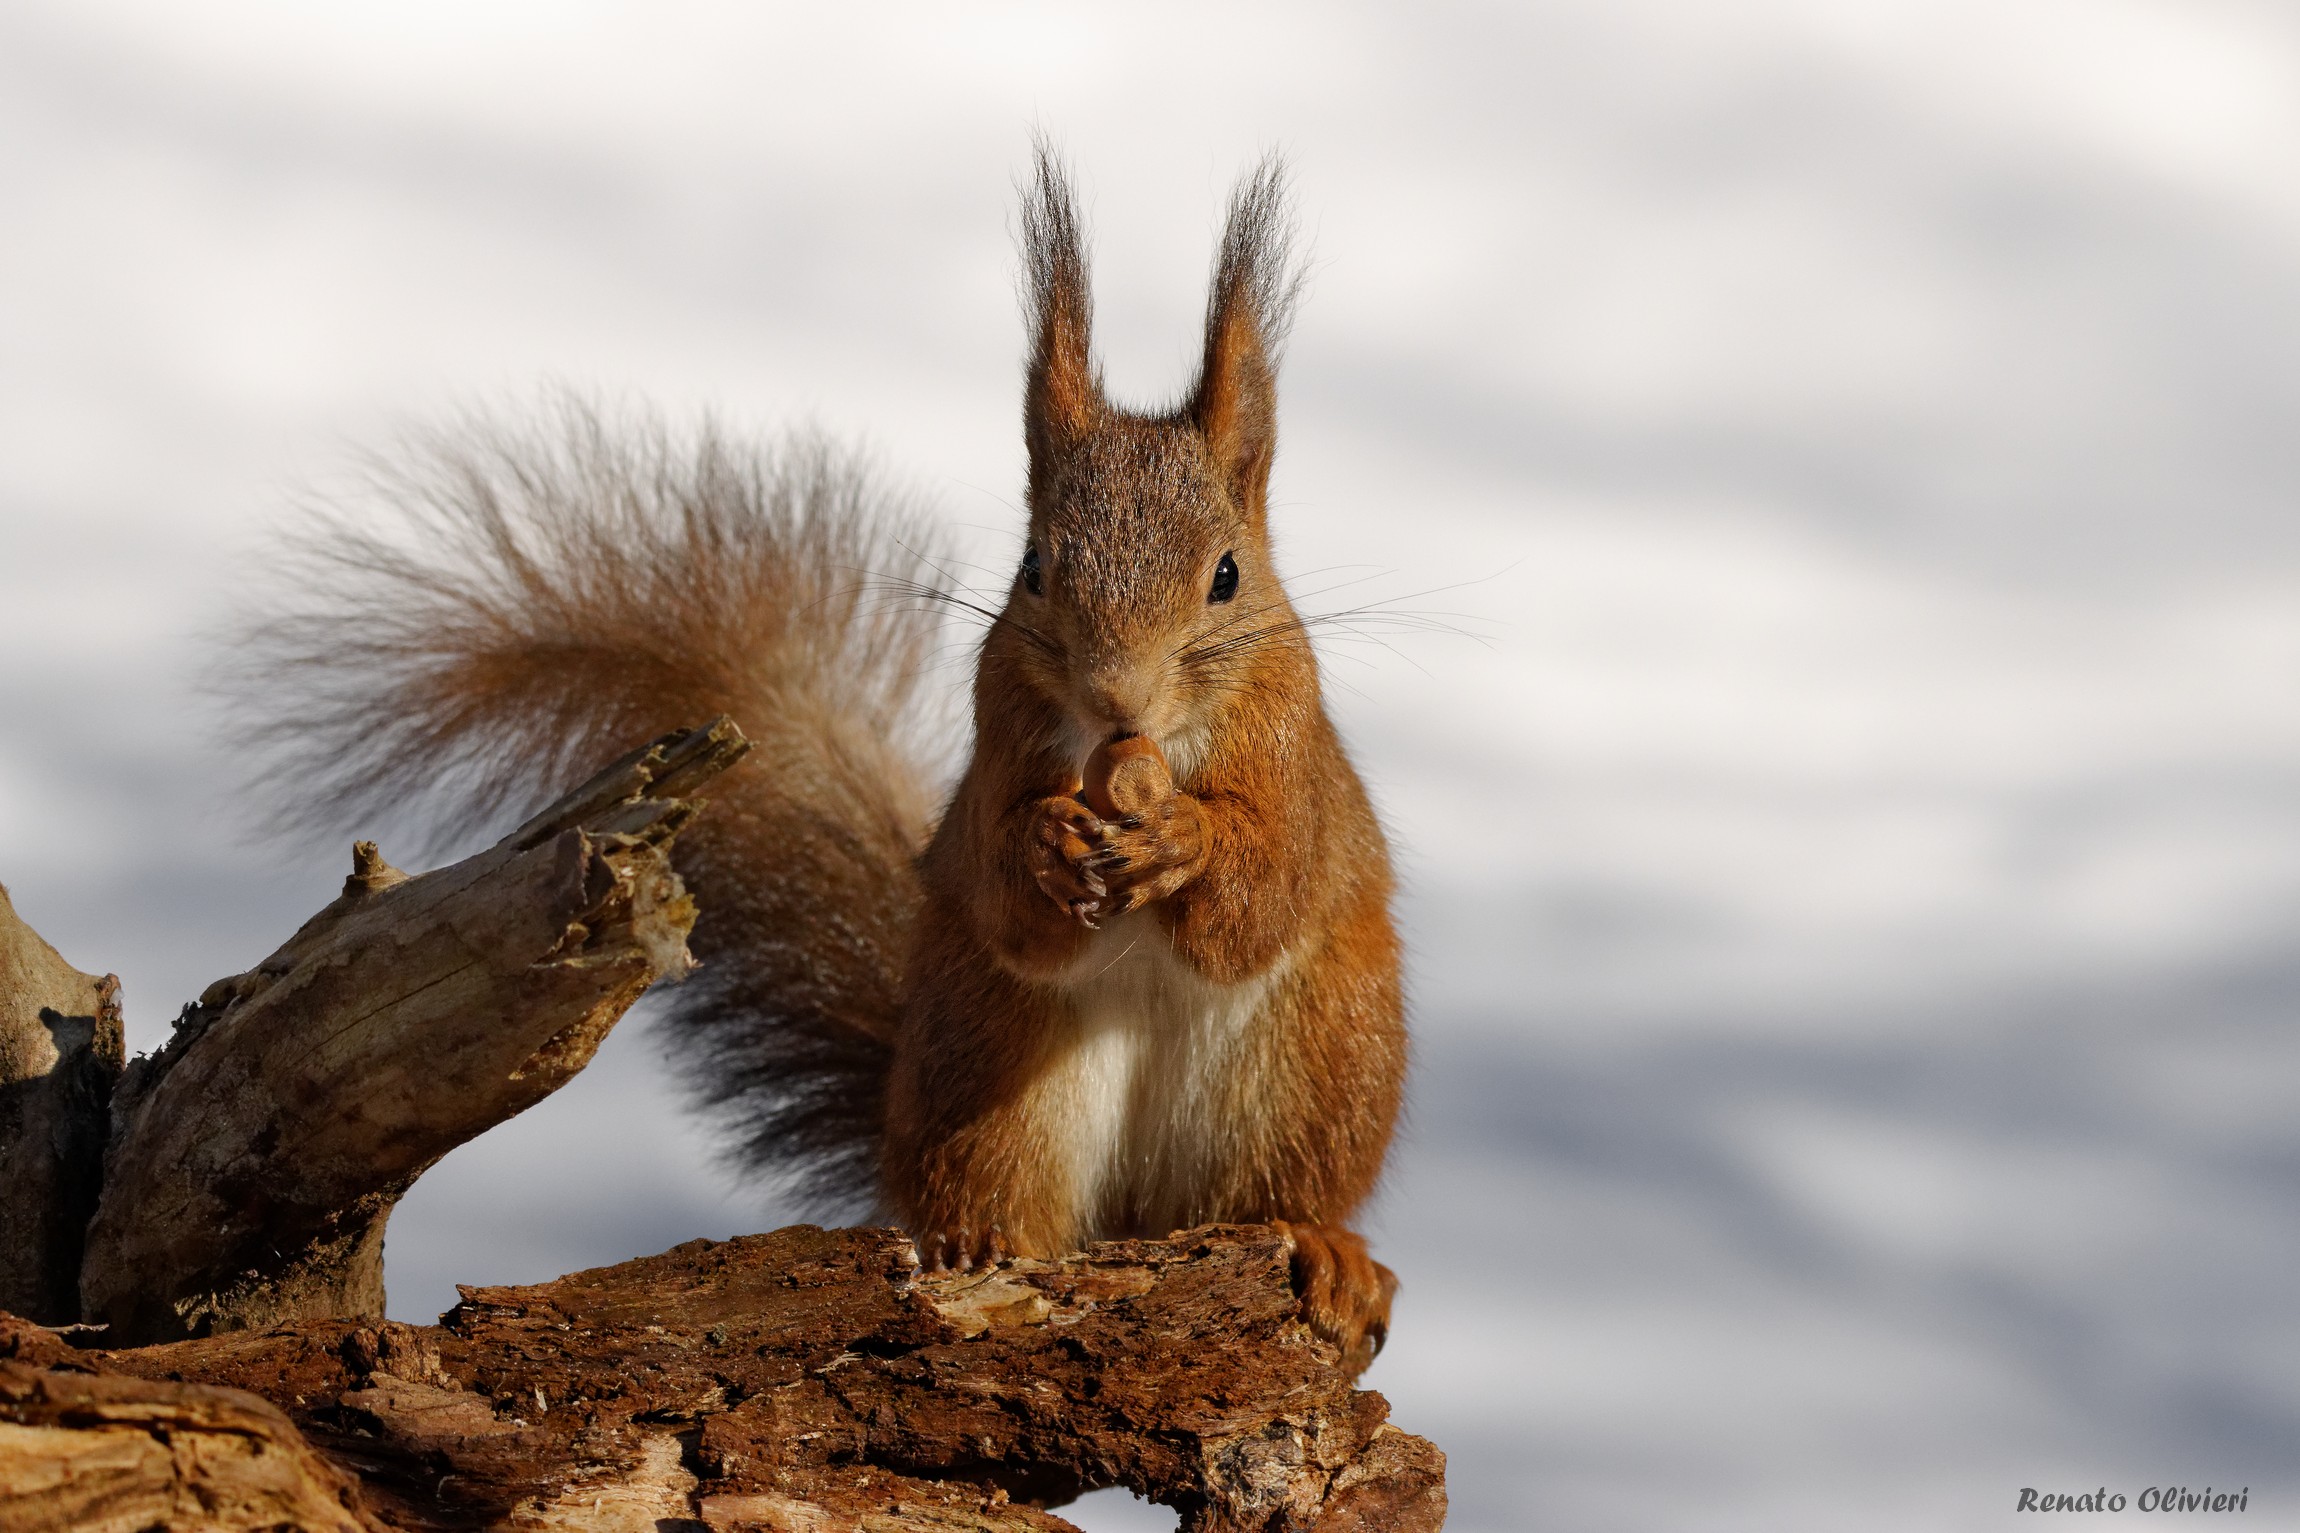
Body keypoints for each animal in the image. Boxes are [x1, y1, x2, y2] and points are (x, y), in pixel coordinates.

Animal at [236, 147, 1407, 1373]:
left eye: (1227, 576)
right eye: (1034, 567)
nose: (1114, 695)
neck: (1135, 751)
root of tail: (1135, 1221)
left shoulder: (1293, 757)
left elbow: (1261, 893)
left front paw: (1179, 836)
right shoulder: (999, 738)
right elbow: (1007, 901)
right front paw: (1046, 843)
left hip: (1307, 1074)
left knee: (1280, 1189)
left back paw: (1322, 1248)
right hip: (988, 1072)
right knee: (1002, 1189)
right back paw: (977, 1245)